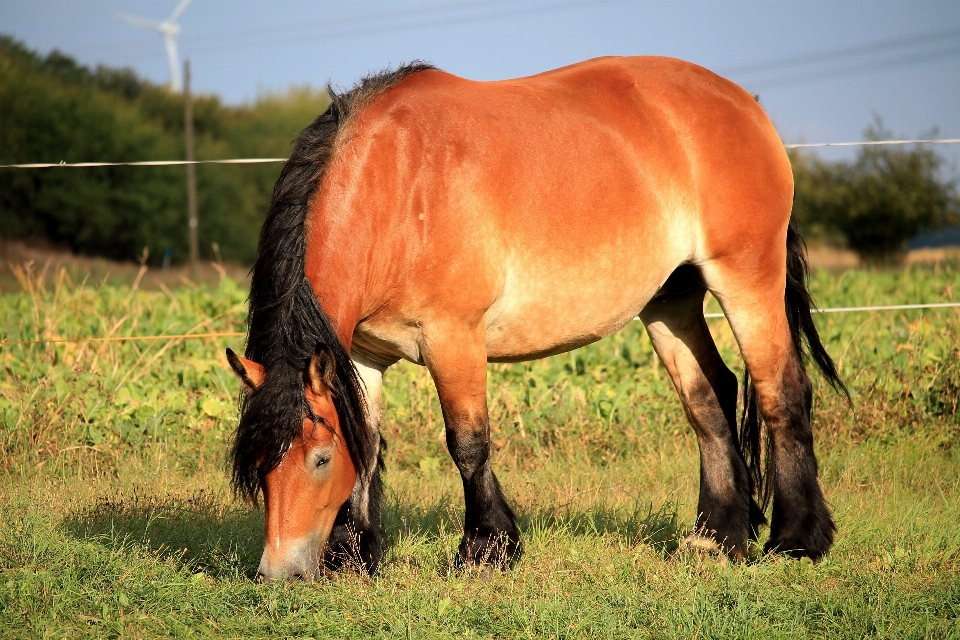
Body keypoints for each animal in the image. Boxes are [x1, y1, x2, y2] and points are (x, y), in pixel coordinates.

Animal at [229, 57, 844, 584]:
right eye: (258, 466)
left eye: (319, 459)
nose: (278, 574)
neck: (398, 186)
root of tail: (744, 103)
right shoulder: (361, 353)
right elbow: (370, 441)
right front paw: (354, 555)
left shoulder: (453, 337)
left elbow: (467, 442)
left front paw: (486, 549)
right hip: (671, 301)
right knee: (710, 398)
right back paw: (716, 538)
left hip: (746, 278)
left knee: (781, 392)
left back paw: (797, 539)